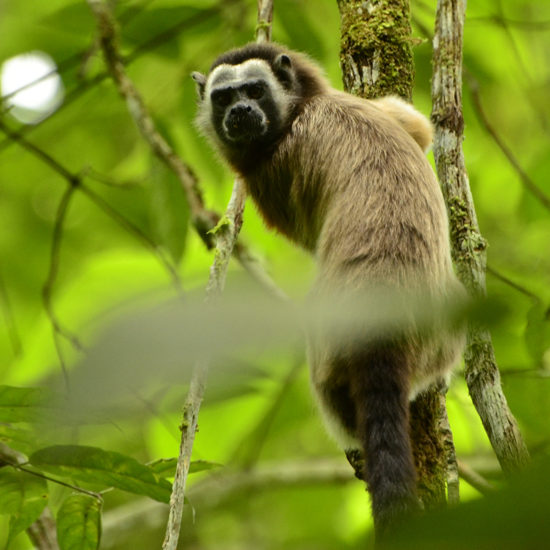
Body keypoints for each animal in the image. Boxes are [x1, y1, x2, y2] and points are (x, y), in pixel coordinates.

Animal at [193, 43, 466, 540]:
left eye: (255, 91)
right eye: (223, 98)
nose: (239, 113)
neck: (304, 107)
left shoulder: (274, 171)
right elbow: (416, 128)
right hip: (443, 331)